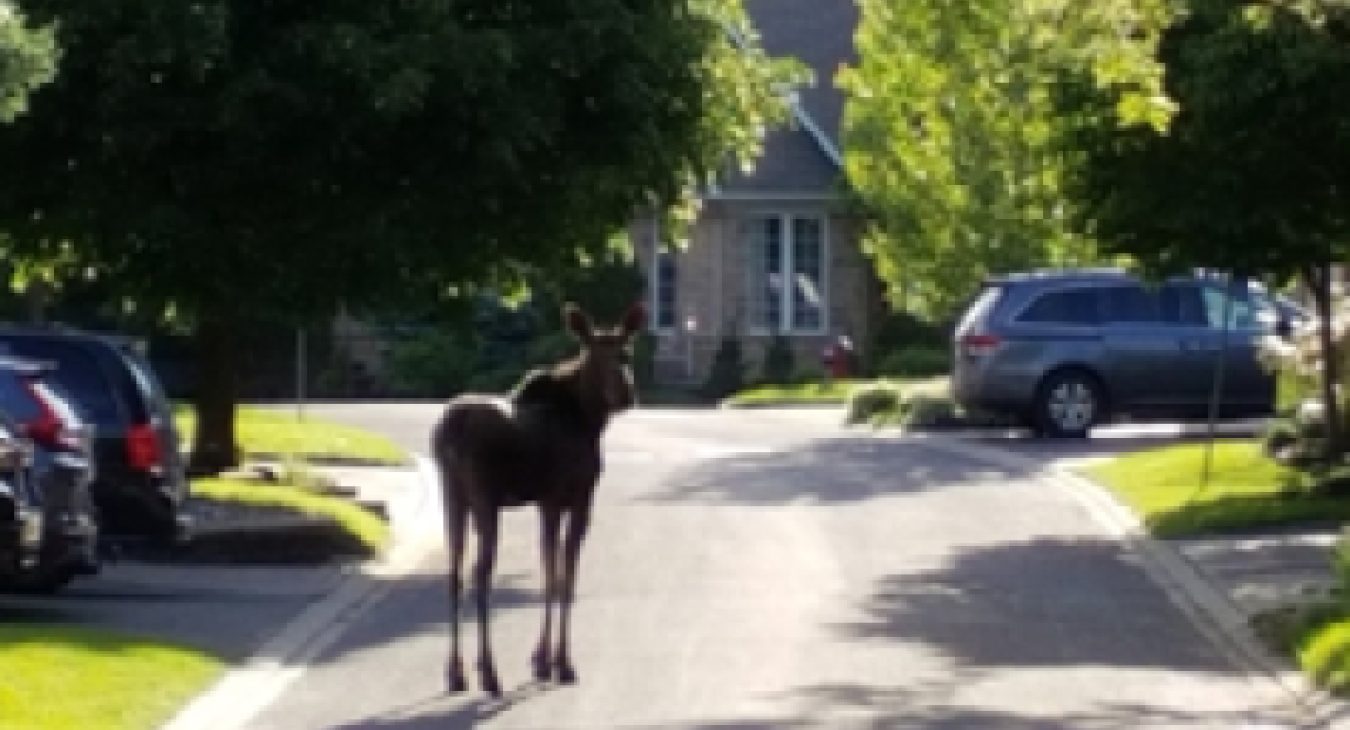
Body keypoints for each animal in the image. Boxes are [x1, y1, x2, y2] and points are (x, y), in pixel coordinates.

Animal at [429, 300, 645, 696]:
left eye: (628, 352)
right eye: (594, 355)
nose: (626, 395)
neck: (590, 422)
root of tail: (451, 429)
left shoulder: (546, 503)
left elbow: (548, 572)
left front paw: (540, 660)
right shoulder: (575, 498)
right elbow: (565, 578)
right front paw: (562, 664)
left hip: (452, 495)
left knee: (454, 573)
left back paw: (455, 673)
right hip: (484, 498)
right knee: (481, 572)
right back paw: (489, 672)